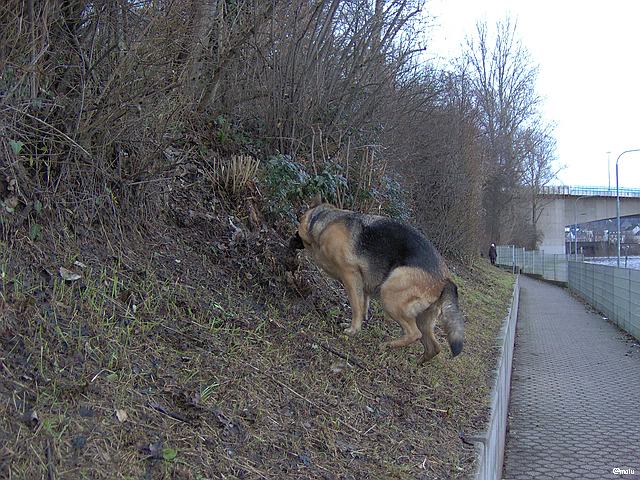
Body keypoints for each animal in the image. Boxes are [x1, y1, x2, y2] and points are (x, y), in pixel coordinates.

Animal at [292, 201, 464, 362]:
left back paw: (387, 345)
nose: (292, 240)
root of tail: (446, 279)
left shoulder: (350, 275)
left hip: (390, 295)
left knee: (414, 333)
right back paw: (418, 362)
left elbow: (356, 306)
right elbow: (363, 306)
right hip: (422, 318)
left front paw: (353, 330)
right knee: (434, 347)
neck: (322, 221)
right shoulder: (364, 286)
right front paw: (360, 323)